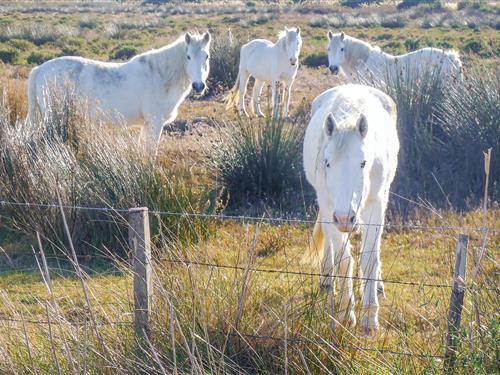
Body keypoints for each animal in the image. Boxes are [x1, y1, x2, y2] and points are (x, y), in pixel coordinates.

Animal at [27, 32, 211, 154]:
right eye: (188, 56)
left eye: (207, 57)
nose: (198, 86)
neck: (160, 75)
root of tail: (39, 69)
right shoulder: (154, 122)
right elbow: (150, 152)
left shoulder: (146, 125)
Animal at [302, 83, 400, 334]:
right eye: (327, 163)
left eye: (363, 163)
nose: (346, 218)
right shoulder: (330, 208)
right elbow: (344, 259)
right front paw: (347, 314)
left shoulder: (375, 206)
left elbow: (369, 258)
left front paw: (370, 318)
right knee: (331, 246)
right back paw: (327, 279)